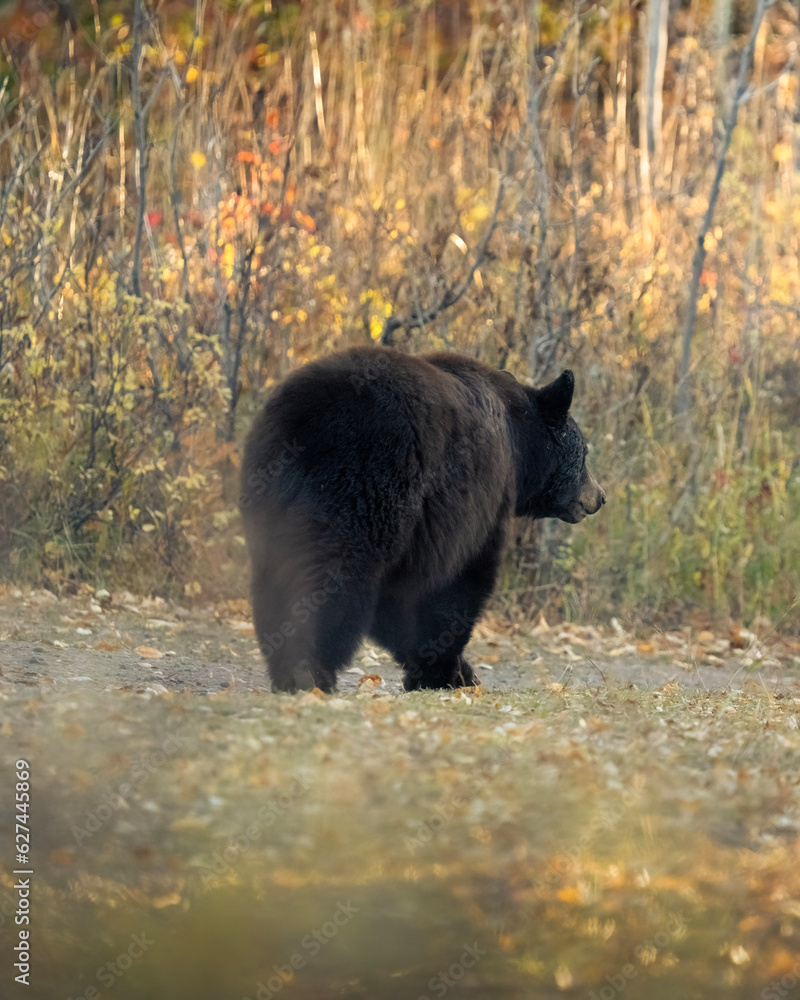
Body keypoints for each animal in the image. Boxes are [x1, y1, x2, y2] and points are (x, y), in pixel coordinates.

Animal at [240, 346, 605, 693]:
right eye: (585, 453)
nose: (599, 496)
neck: (517, 443)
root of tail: (306, 416)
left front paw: (455, 670)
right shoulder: (474, 504)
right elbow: (458, 580)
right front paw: (444, 670)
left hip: (269, 494)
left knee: (274, 575)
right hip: (368, 478)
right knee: (334, 571)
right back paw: (310, 669)